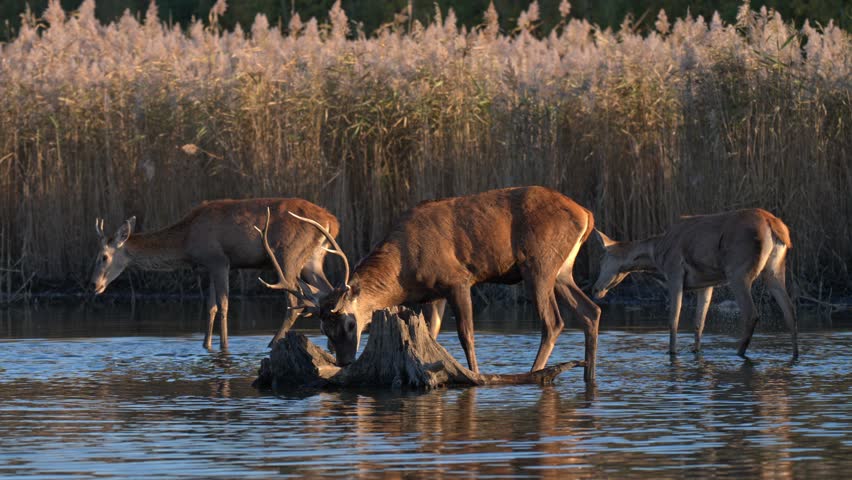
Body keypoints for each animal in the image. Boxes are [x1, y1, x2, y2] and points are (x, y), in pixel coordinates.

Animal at [91, 198, 339, 350]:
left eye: (103, 256)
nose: (94, 284)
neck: (186, 241)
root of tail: (332, 221)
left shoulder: (219, 260)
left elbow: (223, 305)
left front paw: (224, 346)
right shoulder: (209, 266)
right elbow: (210, 306)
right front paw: (206, 345)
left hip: (288, 255)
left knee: (295, 300)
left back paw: (272, 343)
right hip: (313, 260)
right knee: (329, 291)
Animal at [256, 186, 601, 382]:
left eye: (351, 324)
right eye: (324, 330)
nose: (343, 361)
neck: (405, 271)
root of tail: (587, 213)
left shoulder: (458, 279)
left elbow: (466, 335)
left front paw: (474, 373)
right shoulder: (432, 293)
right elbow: (432, 334)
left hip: (539, 264)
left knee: (553, 321)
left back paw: (534, 373)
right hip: (563, 270)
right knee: (591, 311)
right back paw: (588, 373)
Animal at [591, 208, 798, 358]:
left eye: (602, 258)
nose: (595, 288)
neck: (656, 256)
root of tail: (775, 226)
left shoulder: (674, 272)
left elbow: (673, 320)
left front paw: (672, 352)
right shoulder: (706, 283)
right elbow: (699, 322)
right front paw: (695, 351)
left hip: (739, 271)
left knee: (752, 313)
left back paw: (739, 353)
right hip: (774, 270)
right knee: (789, 310)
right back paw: (795, 355)